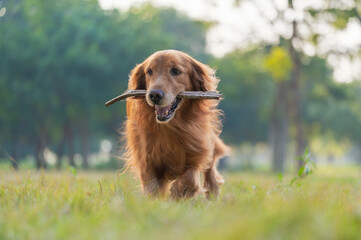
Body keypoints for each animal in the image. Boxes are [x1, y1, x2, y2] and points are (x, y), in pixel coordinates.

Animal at [122, 50, 229, 199]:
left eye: (175, 71)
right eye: (149, 71)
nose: (154, 95)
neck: (171, 126)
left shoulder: (196, 147)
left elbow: (190, 178)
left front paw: (178, 194)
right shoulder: (146, 156)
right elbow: (152, 186)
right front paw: (156, 201)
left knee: (210, 168)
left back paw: (212, 193)